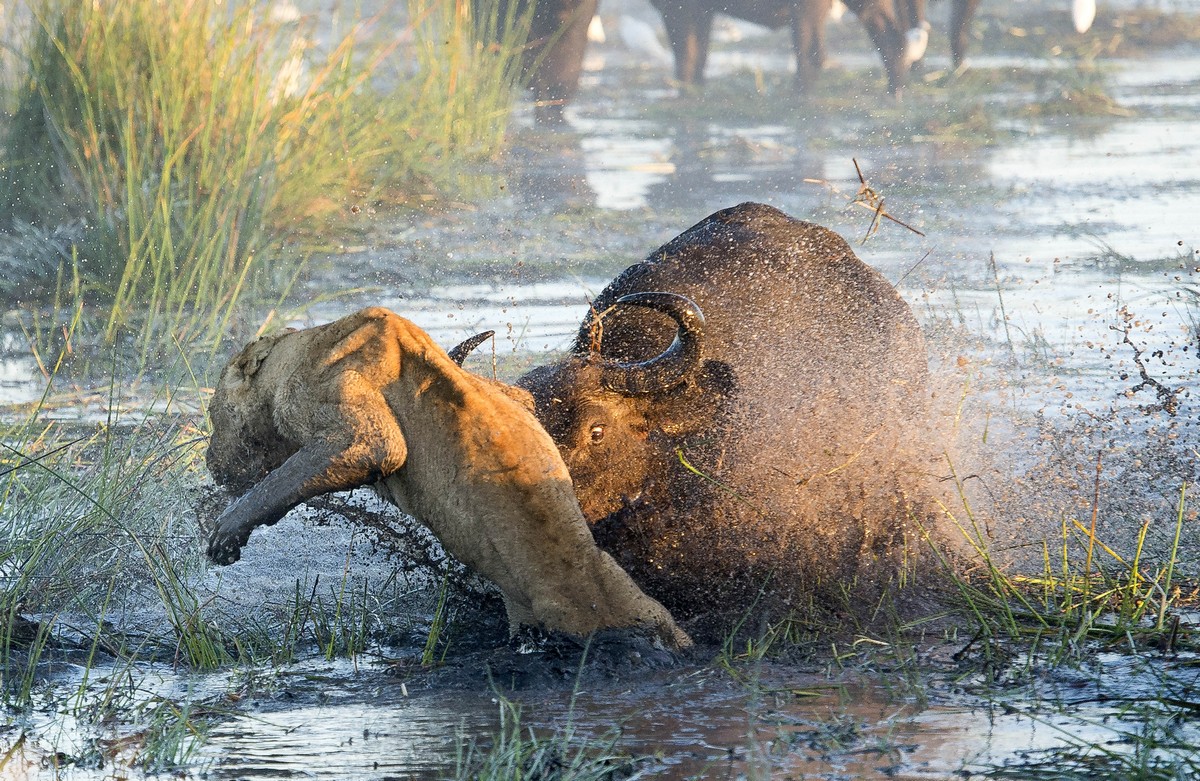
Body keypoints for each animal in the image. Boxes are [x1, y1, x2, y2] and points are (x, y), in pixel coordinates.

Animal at [205, 309, 691, 652]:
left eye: (212, 413)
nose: (209, 460)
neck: (301, 348)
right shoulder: (514, 396)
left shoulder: (353, 425)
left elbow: (285, 478)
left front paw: (225, 535)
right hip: (656, 614)